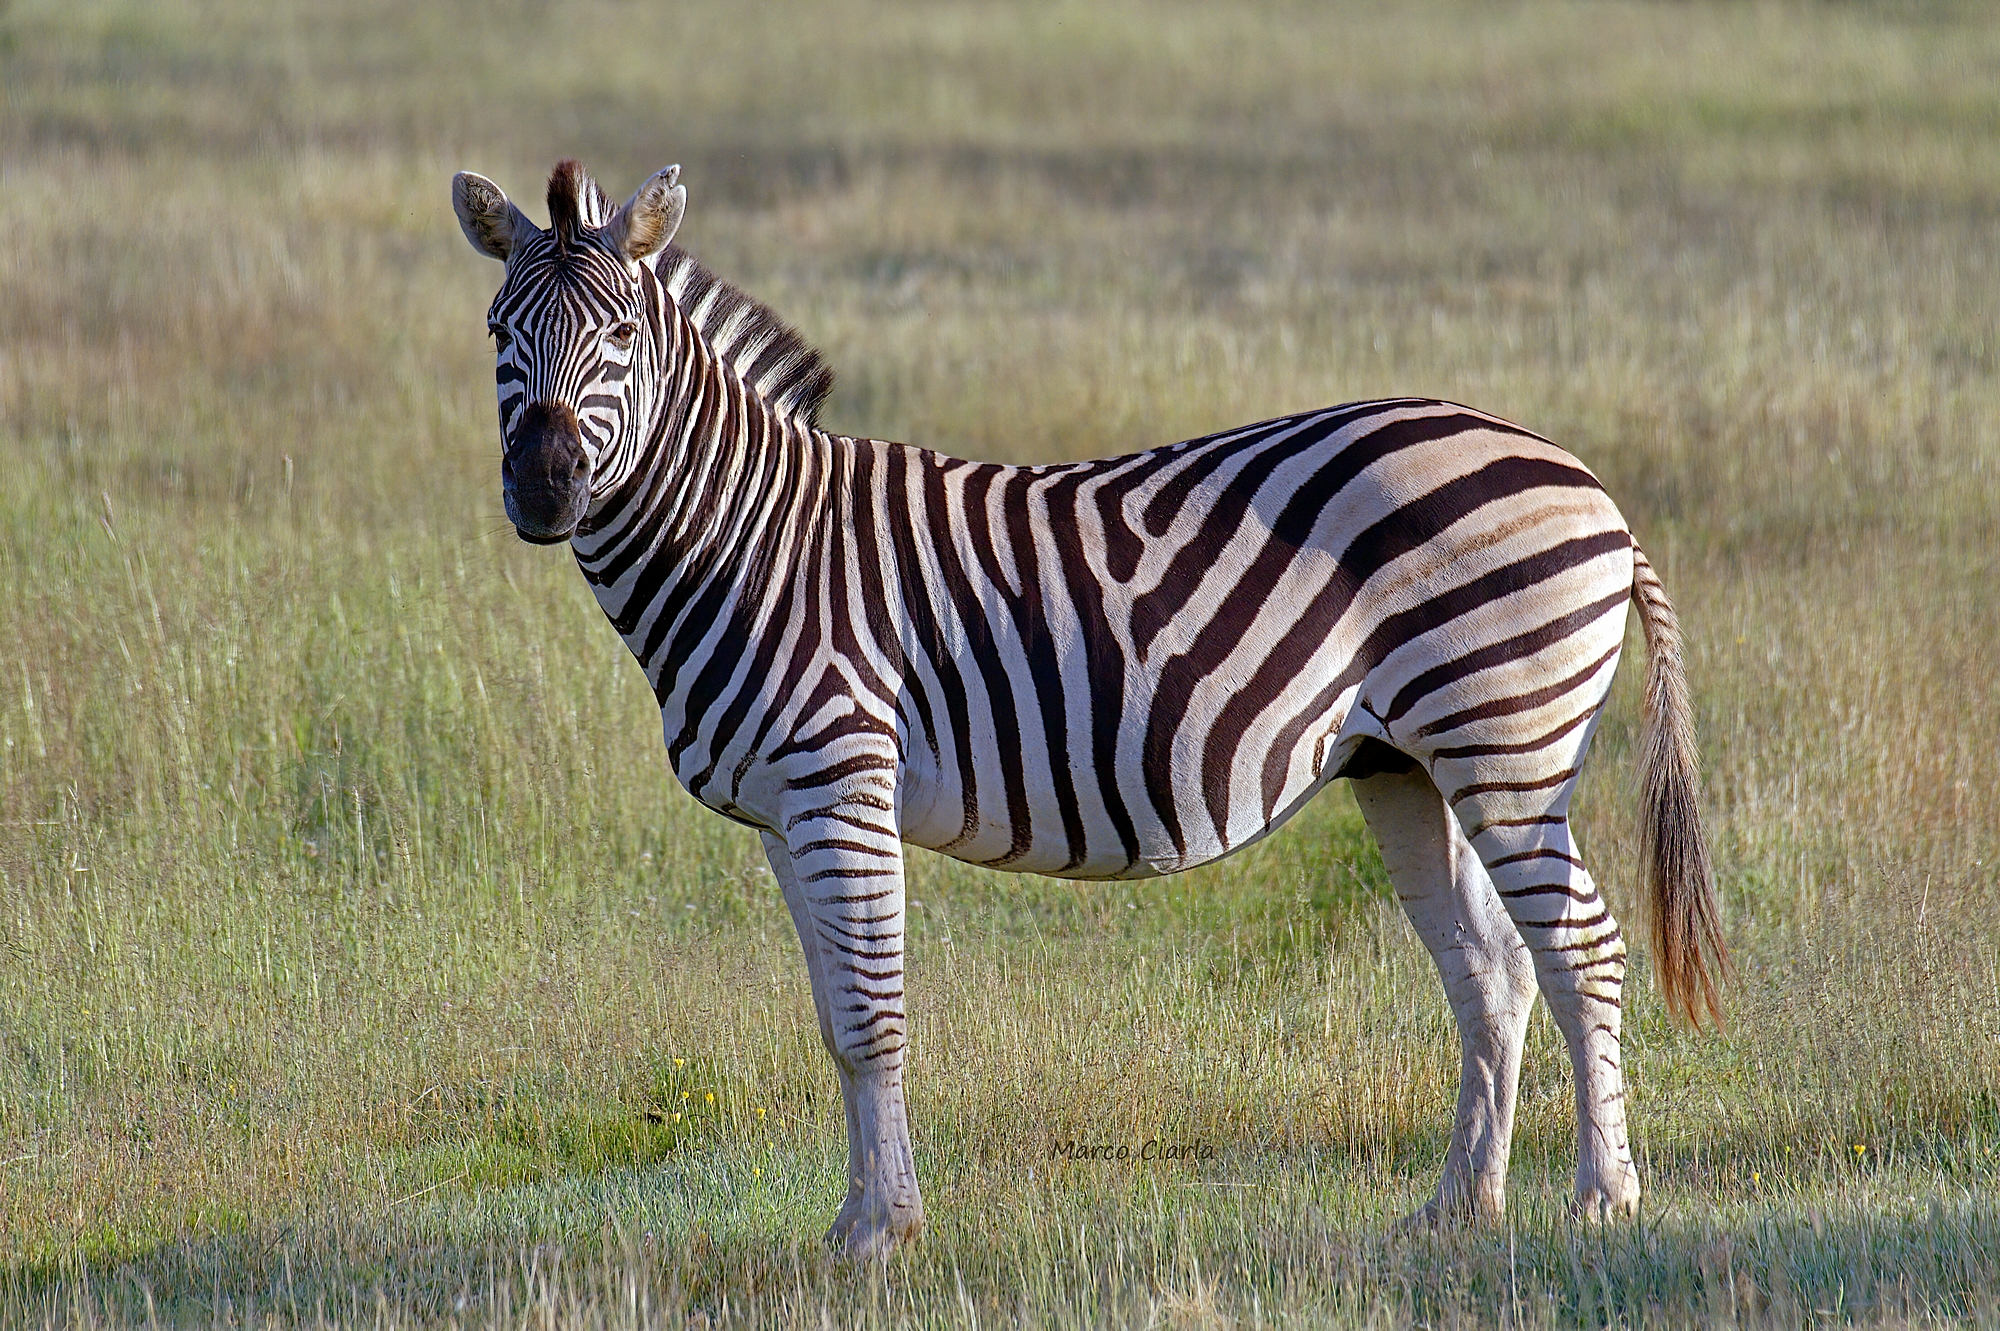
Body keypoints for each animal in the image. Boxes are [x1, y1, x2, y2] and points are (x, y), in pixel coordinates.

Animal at [450, 159, 1725, 1256]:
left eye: (622, 337)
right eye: (498, 335)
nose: (544, 489)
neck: (749, 540)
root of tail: (1583, 479)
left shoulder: (839, 781)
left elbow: (871, 1015)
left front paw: (880, 1233)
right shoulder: (785, 813)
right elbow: (831, 1022)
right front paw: (851, 1222)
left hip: (1504, 741)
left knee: (1581, 949)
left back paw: (1599, 1196)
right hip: (1402, 763)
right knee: (1490, 967)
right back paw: (1458, 1205)